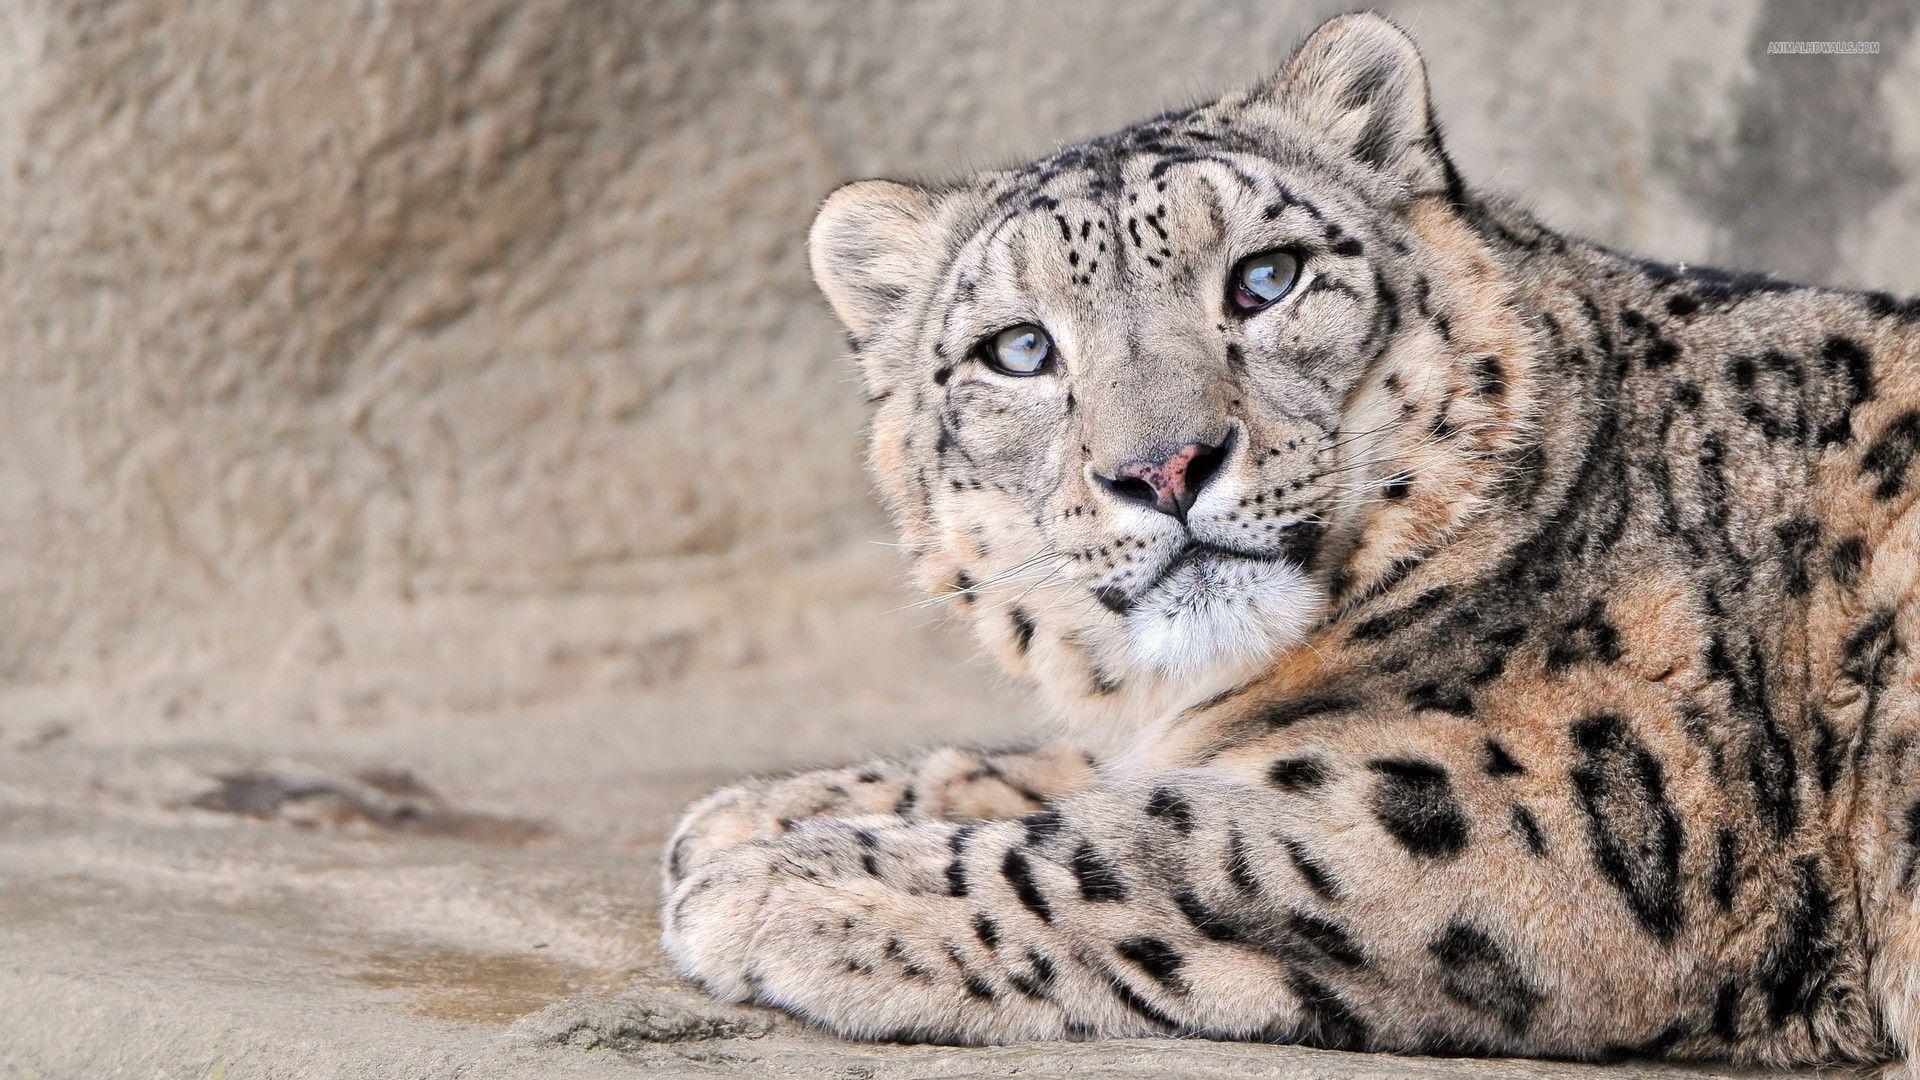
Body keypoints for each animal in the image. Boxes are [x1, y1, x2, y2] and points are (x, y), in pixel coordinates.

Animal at [659, 13, 1920, 1070]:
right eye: (1018, 350)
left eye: (1266, 278)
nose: (1164, 467)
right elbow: (1075, 770)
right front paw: (758, 812)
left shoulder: (1544, 804)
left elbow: (1160, 843)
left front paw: (779, 879)